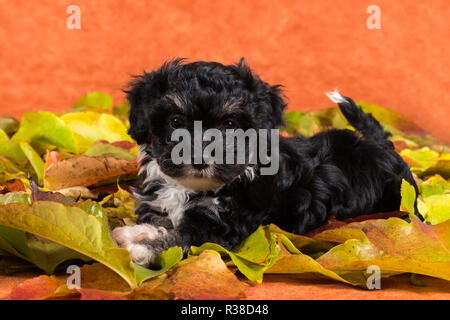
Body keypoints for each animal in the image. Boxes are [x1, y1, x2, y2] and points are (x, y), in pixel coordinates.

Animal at [112, 58, 418, 266]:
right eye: (176, 122)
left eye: (230, 124)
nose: (199, 159)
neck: (192, 188)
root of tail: (380, 145)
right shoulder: (157, 203)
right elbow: (159, 220)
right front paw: (140, 232)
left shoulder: (222, 225)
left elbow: (183, 238)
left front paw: (144, 246)